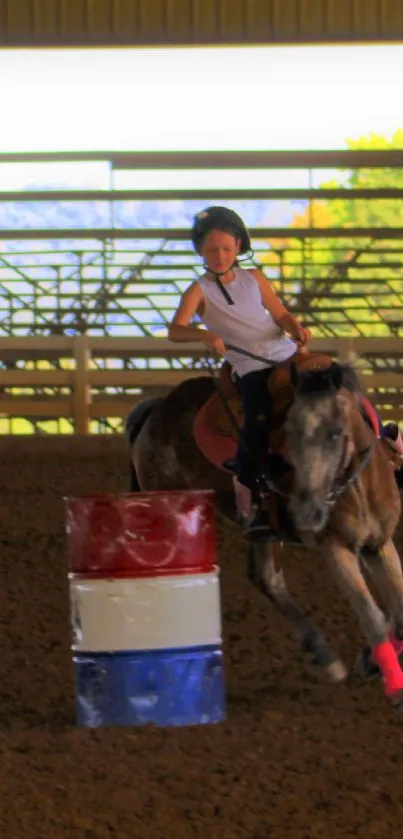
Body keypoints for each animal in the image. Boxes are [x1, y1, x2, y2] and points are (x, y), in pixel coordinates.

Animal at [124, 352, 403, 704]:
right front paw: (393, 684)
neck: (357, 484)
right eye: (288, 432)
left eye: (335, 433)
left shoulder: (379, 544)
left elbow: (399, 609)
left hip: (264, 529)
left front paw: (370, 661)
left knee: (266, 577)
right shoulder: (336, 548)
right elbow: (373, 617)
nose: (308, 512)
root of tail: (157, 409)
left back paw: (324, 656)